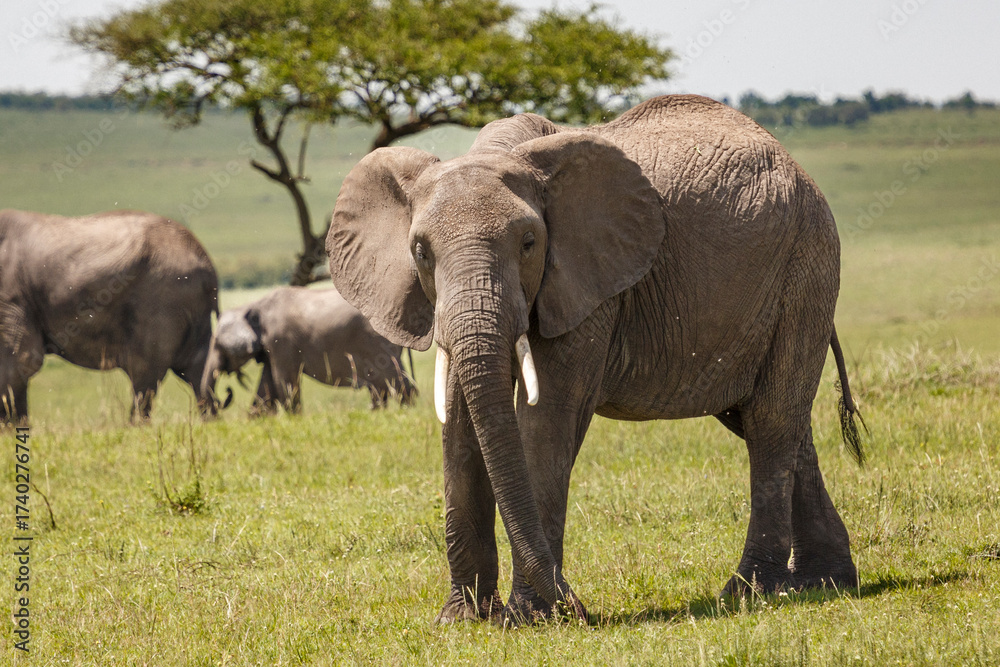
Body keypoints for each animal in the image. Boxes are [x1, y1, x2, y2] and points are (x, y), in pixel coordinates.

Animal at [1, 208, 220, 423]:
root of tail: (208, 265)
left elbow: (20, 361)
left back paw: (134, 427)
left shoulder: (12, 297)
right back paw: (210, 421)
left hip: (162, 298)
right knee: (196, 368)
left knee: (145, 372)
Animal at [199, 286, 416, 414]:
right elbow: (267, 387)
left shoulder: (281, 341)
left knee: (396, 383)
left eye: (217, 345)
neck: (252, 306)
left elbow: (283, 383)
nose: (226, 392)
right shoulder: (272, 348)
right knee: (383, 387)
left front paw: (293, 417)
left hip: (377, 345)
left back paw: (405, 413)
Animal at [326, 94, 867, 624]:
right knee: (769, 420)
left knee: (771, 420)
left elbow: (549, 418)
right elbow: (459, 423)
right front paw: (461, 621)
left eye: (529, 244)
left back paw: (751, 593)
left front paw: (531, 618)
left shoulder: (589, 284)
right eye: (420, 252)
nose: (581, 609)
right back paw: (824, 583)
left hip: (807, 267)